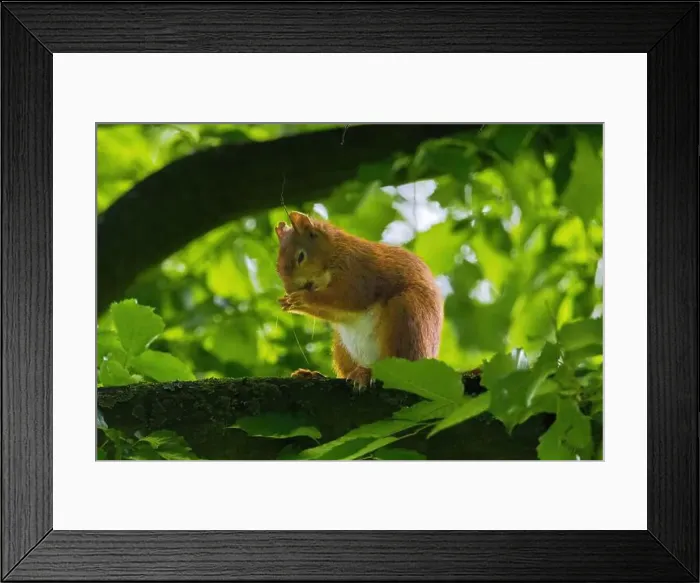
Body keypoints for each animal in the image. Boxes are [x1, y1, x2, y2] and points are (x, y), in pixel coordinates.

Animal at [275, 210, 444, 390]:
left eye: (301, 257)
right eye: (277, 267)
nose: (289, 289)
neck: (336, 251)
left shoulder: (357, 272)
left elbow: (349, 297)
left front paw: (302, 298)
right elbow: (334, 312)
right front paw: (288, 301)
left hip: (406, 317)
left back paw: (367, 374)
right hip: (342, 348)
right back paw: (314, 375)